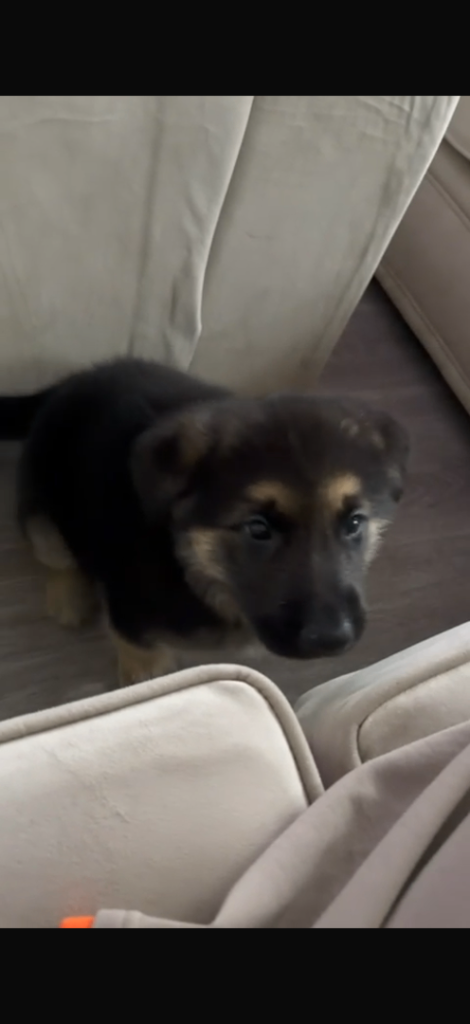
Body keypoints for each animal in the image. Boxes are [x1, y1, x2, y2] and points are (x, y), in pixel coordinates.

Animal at [0, 358, 409, 686]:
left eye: (354, 523)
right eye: (257, 528)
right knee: (55, 554)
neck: (193, 567)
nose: (332, 640)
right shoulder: (131, 620)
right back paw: (68, 596)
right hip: (41, 515)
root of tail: (67, 385)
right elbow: (144, 662)